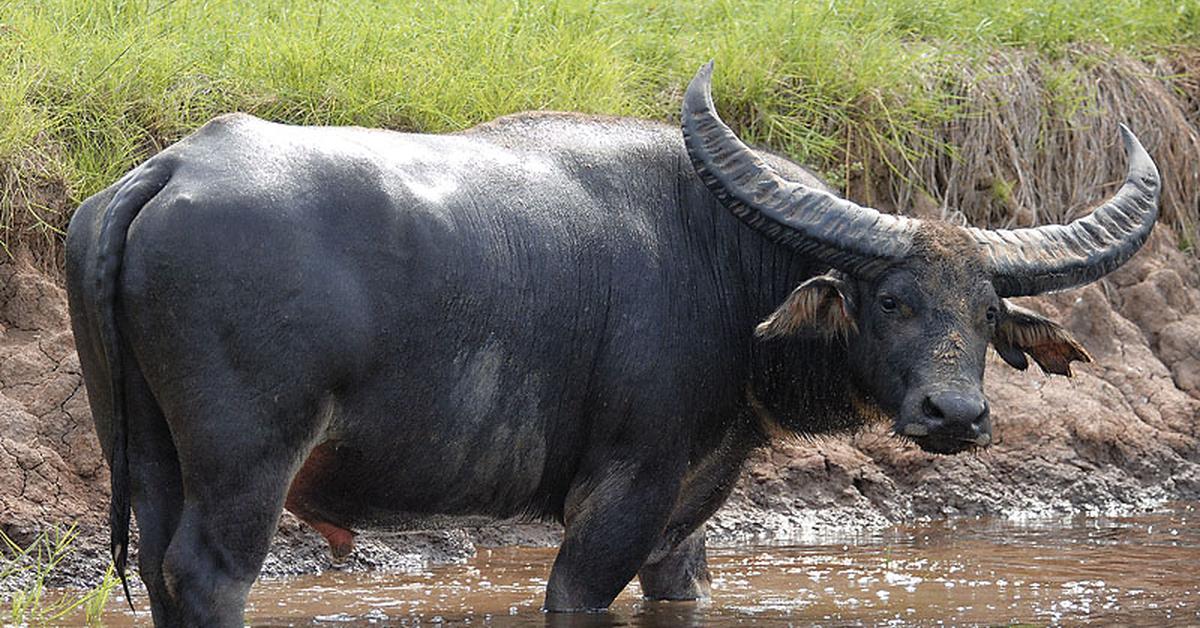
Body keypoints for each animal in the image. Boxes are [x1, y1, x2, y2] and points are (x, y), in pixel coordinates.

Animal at [68, 62, 1161, 624]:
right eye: (890, 299)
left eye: (985, 310)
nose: (956, 414)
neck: (722, 263)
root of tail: (165, 172)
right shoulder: (621, 493)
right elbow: (579, 589)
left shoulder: (692, 500)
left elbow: (681, 586)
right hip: (248, 462)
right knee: (210, 575)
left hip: (149, 453)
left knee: (160, 571)